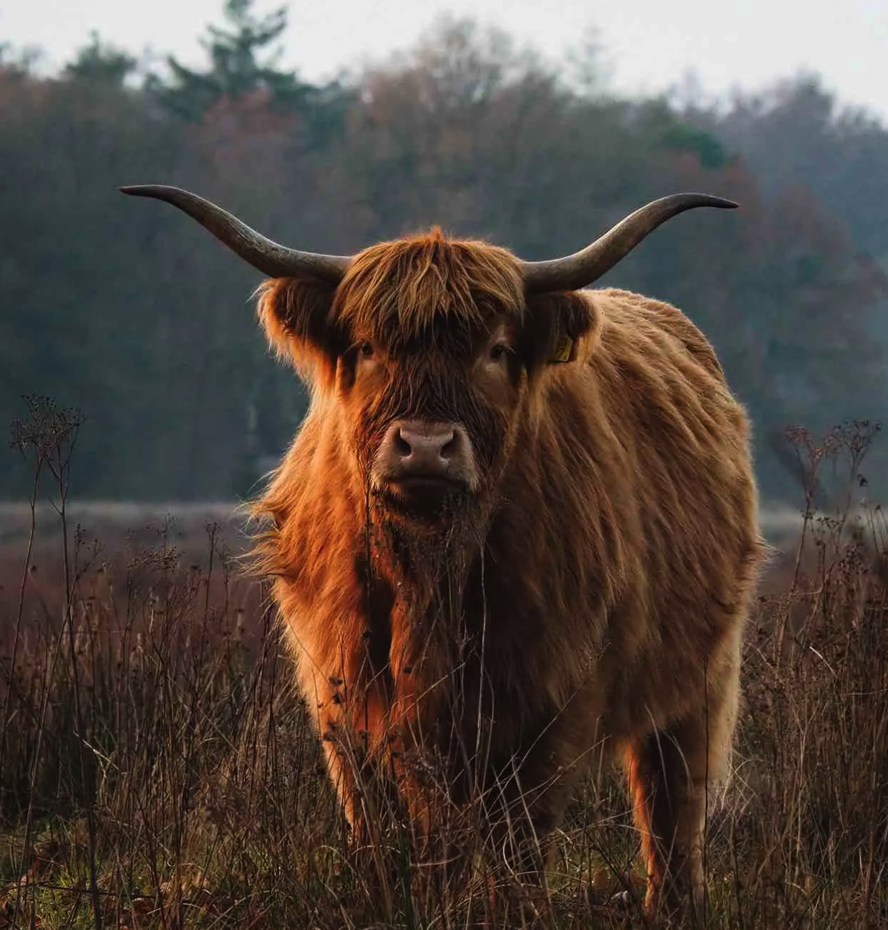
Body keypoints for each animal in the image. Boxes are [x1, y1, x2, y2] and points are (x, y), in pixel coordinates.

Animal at [122, 184, 764, 924]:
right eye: (366, 347)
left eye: (495, 350)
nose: (425, 448)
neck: (428, 573)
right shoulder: (343, 694)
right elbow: (383, 828)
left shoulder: (547, 696)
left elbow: (518, 836)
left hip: (702, 677)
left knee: (671, 799)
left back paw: (672, 906)